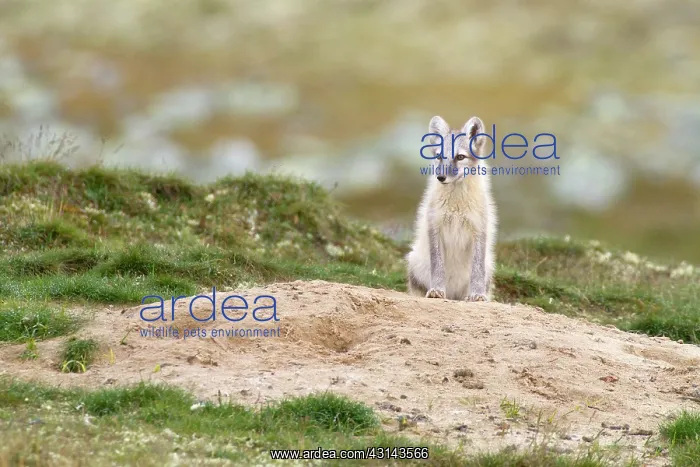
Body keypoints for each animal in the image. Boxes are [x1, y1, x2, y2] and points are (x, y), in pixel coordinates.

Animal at [406, 115, 498, 302]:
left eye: (460, 156)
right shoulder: (434, 228)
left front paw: (478, 295)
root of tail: (454, 295)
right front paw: (436, 290)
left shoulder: (479, 231)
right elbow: (438, 266)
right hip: (414, 261)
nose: (441, 177)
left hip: (490, 266)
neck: (457, 207)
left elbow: (477, 270)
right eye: (439, 156)